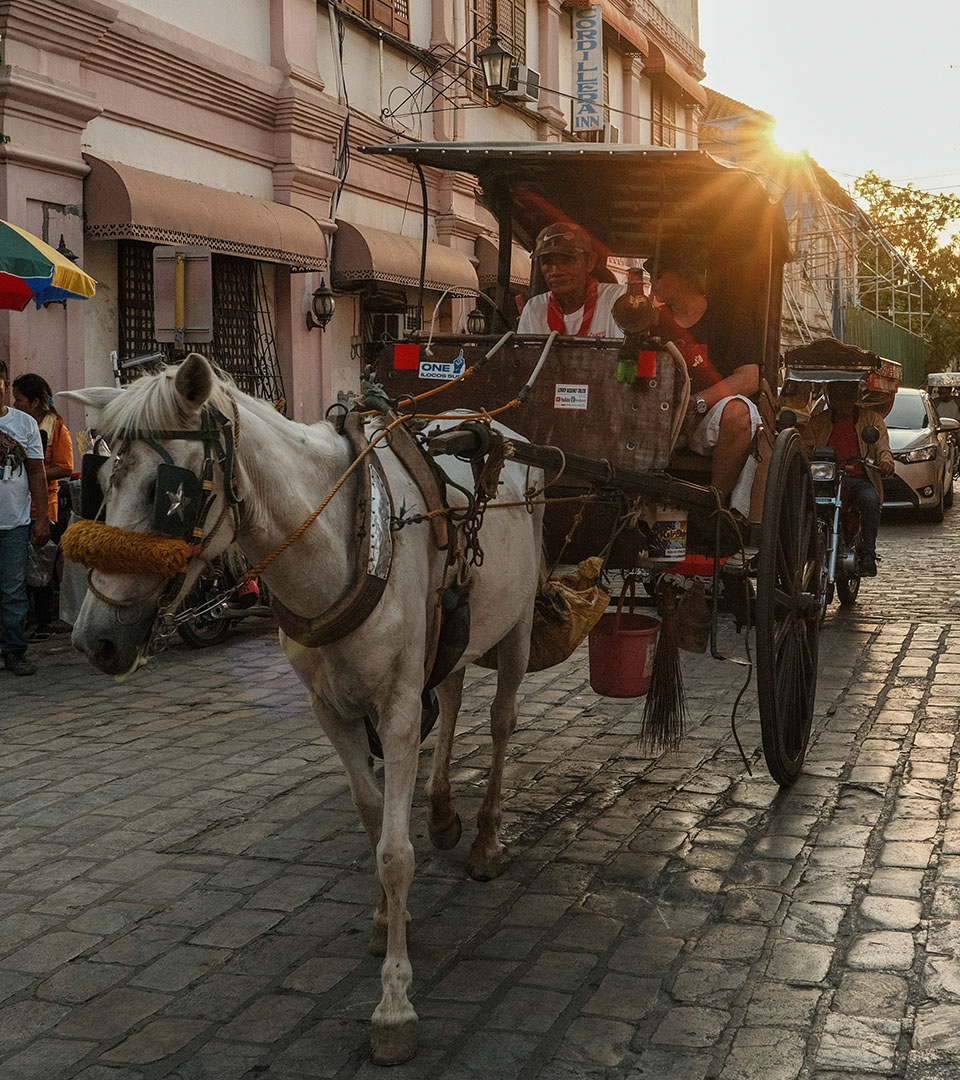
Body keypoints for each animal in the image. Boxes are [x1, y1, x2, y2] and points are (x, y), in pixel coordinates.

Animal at [63, 356, 542, 1062]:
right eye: (103, 481)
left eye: (167, 492)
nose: (95, 640)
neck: (339, 542)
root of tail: (494, 424)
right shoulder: (328, 708)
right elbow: (371, 818)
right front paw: (386, 917)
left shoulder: (399, 708)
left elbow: (394, 852)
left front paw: (394, 1004)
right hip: (457, 623)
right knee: (453, 691)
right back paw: (443, 813)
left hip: (519, 623)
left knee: (503, 721)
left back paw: (484, 839)